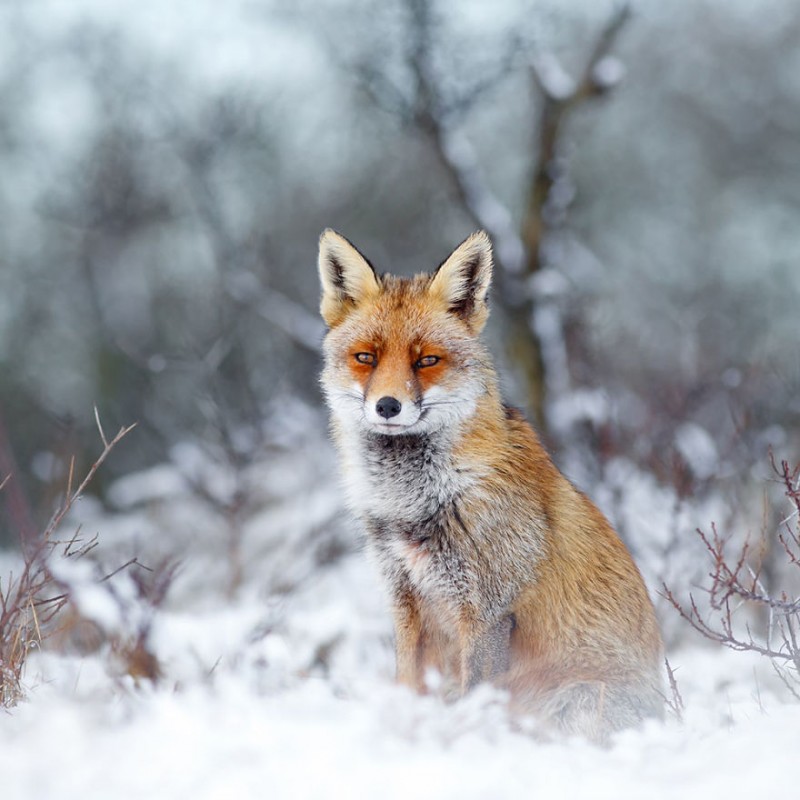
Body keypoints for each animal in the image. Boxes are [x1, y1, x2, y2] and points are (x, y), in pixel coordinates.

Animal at [318, 228, 664, 740]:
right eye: (366, 357)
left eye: (427, 360)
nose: (387, 406)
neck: (418, 503)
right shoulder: (406, 601)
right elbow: (408, 689)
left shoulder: (488, 612)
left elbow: (473, 701)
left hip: (578, 697)